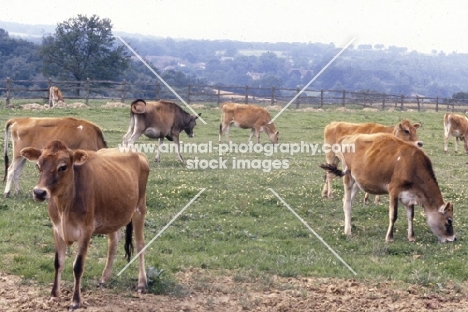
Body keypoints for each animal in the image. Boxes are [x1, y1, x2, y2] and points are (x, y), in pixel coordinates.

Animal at [19, 141, 148, 310]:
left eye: (63, 167)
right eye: (38, 165)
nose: (39, 192)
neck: (64, 206)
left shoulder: (86, 231)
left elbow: (78, 266)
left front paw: (75, 300)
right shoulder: (56, 229)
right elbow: (58, 263)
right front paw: (54, 294)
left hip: (140, 208)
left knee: (140, 245)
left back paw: (142, 283)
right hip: (113, 214)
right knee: (113, 241)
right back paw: (104, 278)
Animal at [320, 132, 456, 244]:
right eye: (449, 220)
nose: (454, 238)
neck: (411, 165)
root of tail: (347, 137)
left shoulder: (409, 196)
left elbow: (410, 216)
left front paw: (411, 237)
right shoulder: (393, 191)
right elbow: (393, 215)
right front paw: (389, 237)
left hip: (358, 182)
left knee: (346, 201)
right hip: (348, 176)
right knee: (348, 202)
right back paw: (348, 231)